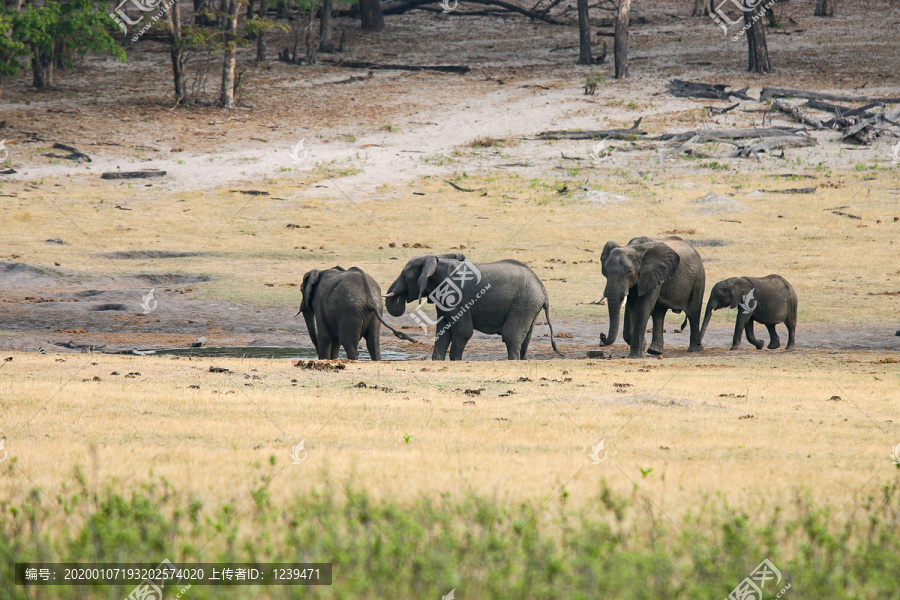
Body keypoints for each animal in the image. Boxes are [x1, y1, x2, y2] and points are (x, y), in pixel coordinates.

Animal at [382, 251, 564, 358]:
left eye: (404, 276)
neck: (435, 261)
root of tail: (543, 291)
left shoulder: (456, 296)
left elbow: (463, 331)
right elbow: (443, 332)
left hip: (523, 304)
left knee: (511, 337)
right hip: (530, 307)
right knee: (524, 342)